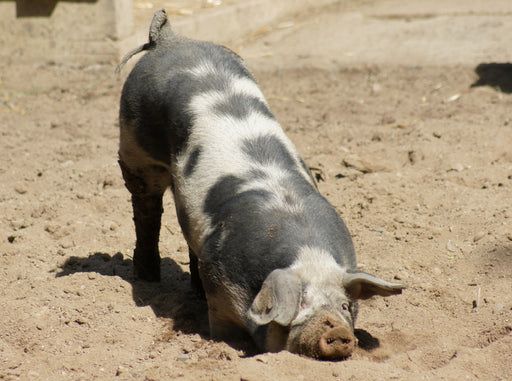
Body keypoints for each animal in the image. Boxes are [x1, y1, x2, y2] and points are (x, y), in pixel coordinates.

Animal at [118, 8, 406, 360]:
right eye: (300, 303)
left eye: (344, 305)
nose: (337, 332)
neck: (308, 255)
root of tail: (168, 39)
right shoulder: (221, 284)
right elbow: (222, 328)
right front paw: (225, 346)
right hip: (134, 148)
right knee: (146, 210)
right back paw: (147, 277)